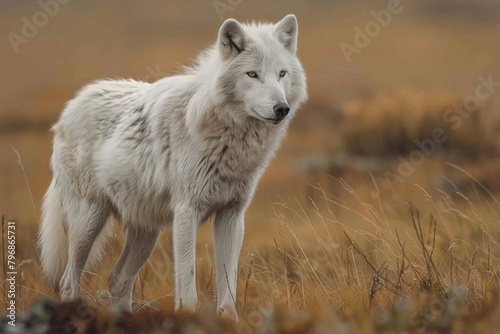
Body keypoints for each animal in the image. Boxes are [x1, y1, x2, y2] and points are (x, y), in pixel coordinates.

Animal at [38, 14, 304, 320]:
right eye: (252, 74)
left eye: (282, 74)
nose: (281, 109)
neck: (227, 140)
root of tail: (71, 105)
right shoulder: (187, 213)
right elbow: (187, 290)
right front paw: (188, 318)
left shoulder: (232, 215)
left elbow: (228, 290)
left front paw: (229, 321)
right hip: (89, 221)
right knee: (68, 282)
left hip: (146, 233)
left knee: (117, 279)